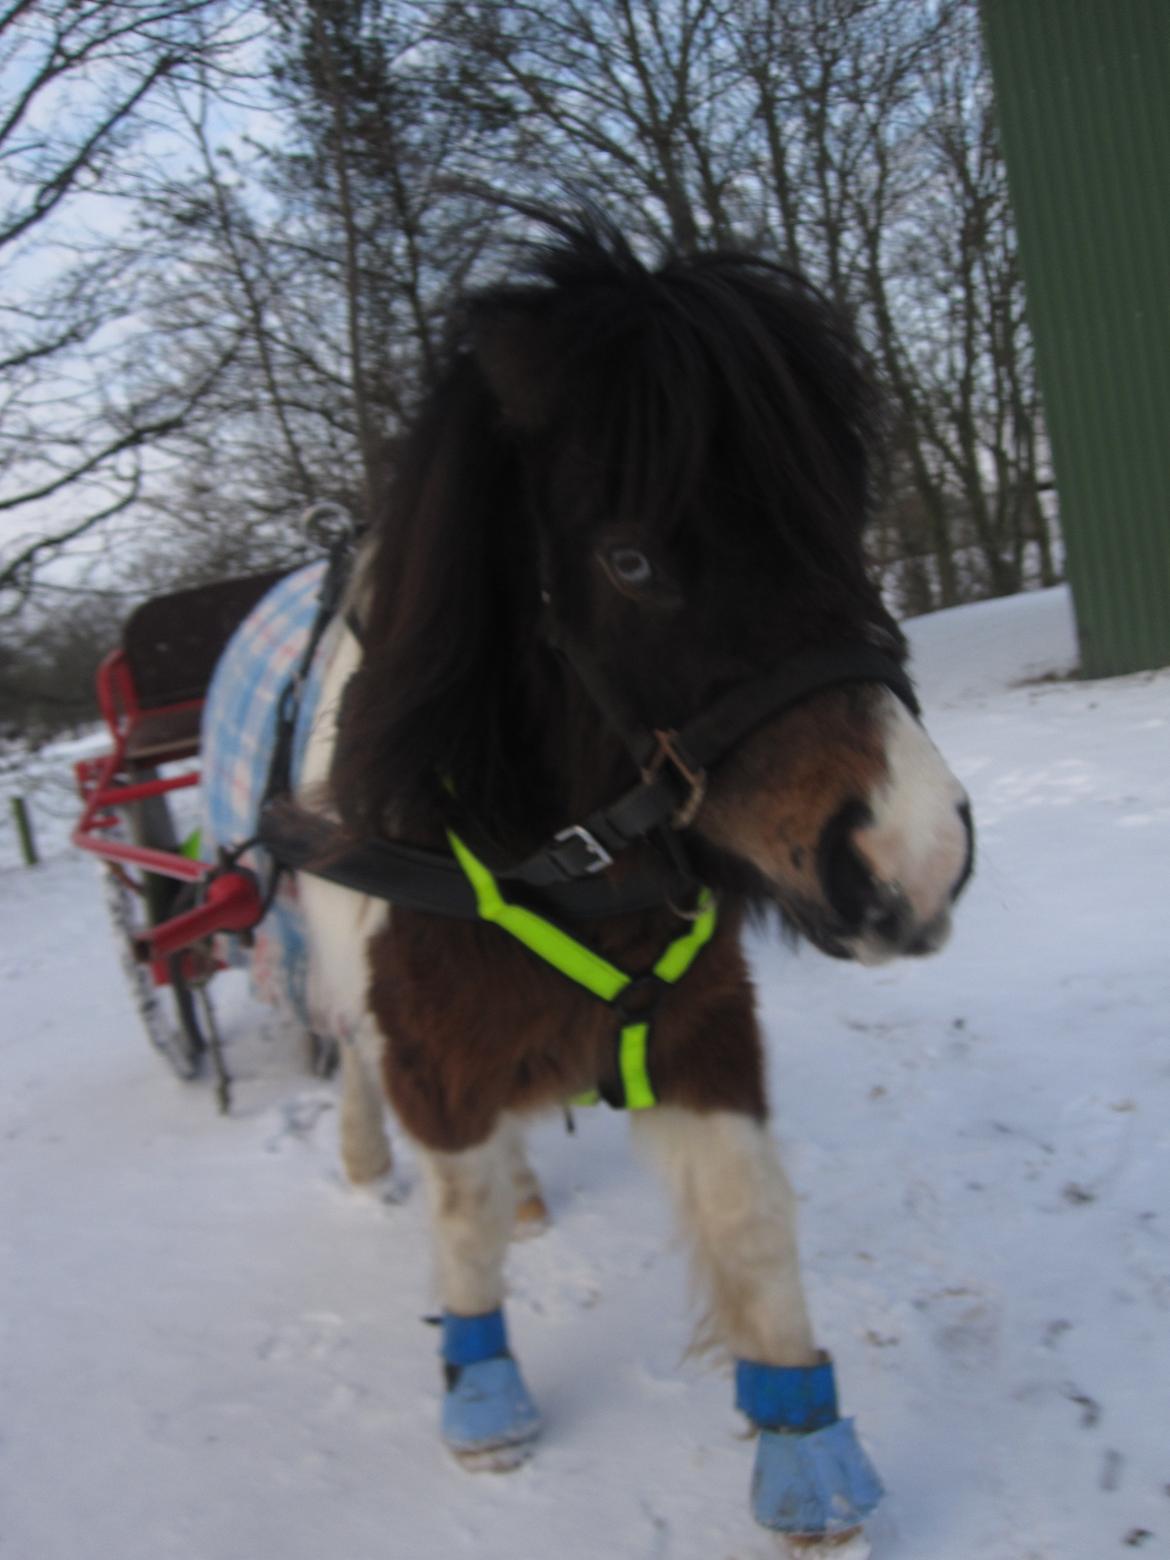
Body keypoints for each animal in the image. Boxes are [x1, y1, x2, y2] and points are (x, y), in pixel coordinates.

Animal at [282, 216, 973, 1547]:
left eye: (840, 518)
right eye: (633, 560)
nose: (913, 857)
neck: (551, 852)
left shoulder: (699, 1027)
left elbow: (752, 1225)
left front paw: (808, 1453)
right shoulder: (433, 1051)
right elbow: (458, 1220)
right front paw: (483, 1398)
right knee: (350, 1052)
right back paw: (363, 1158)